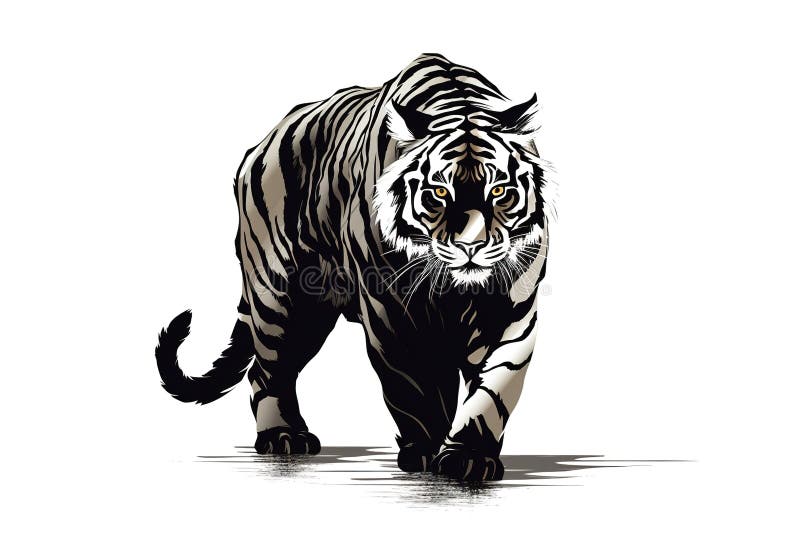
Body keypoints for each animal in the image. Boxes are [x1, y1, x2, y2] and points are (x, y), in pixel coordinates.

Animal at [155, 53, 555, 482]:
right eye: (438, 192)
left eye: (499, 191)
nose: (471, 246)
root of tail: (262, 144)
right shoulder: (392, 309)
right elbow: (417, 387)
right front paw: (426, 451)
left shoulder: (509, 308)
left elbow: (495, 385)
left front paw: (469, 457)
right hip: (284, 298)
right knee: (268, 369)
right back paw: (284, 437)